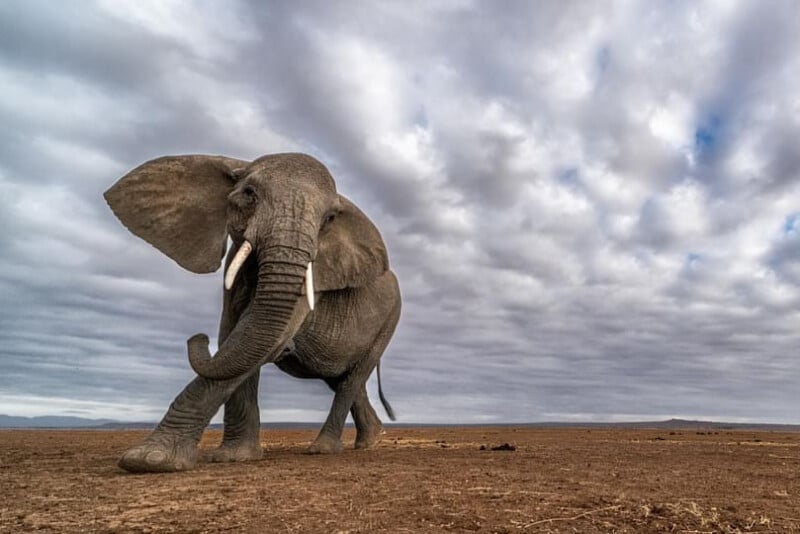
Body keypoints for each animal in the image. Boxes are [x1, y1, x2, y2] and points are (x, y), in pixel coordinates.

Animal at [104, 154, 400, 474]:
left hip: (390, 321)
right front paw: (235, 457)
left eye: (329, 219)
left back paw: (323, 449)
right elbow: (232, 337)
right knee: (340, 377)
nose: (198, 338)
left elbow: (255, 342)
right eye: (249, 194)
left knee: (351, 379)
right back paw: (371, 440)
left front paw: (149, 460)